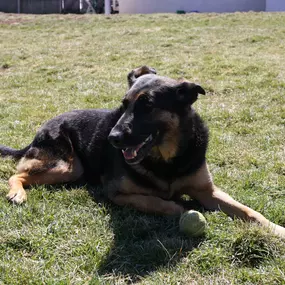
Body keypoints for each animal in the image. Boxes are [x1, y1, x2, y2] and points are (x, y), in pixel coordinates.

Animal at [0, 65, 284, 236]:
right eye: (124, 105)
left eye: (148, 105)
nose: (112, 138)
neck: (167, 159)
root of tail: (43, 127)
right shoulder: (119, 193)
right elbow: (160, 202)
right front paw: (181, 207)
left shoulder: (208, 191)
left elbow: (248, 211)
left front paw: (276, 229)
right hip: (67, 167)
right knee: (17, 174)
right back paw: (17, 193)